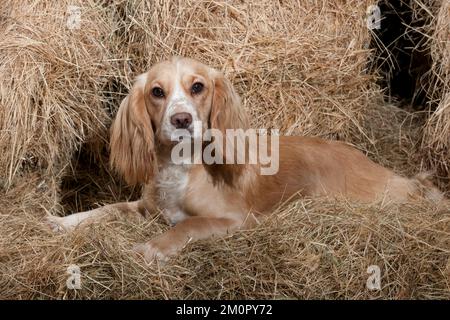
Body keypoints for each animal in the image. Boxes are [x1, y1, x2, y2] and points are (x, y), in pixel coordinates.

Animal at [46, 57, 446, 262]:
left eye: (197, 87)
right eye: (157, 92)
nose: (181, 119)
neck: (181, 168)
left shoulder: (238, 219)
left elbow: (186, 226)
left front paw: (152, 248)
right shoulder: (146, 208)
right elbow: (106, 209)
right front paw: (62, 222)